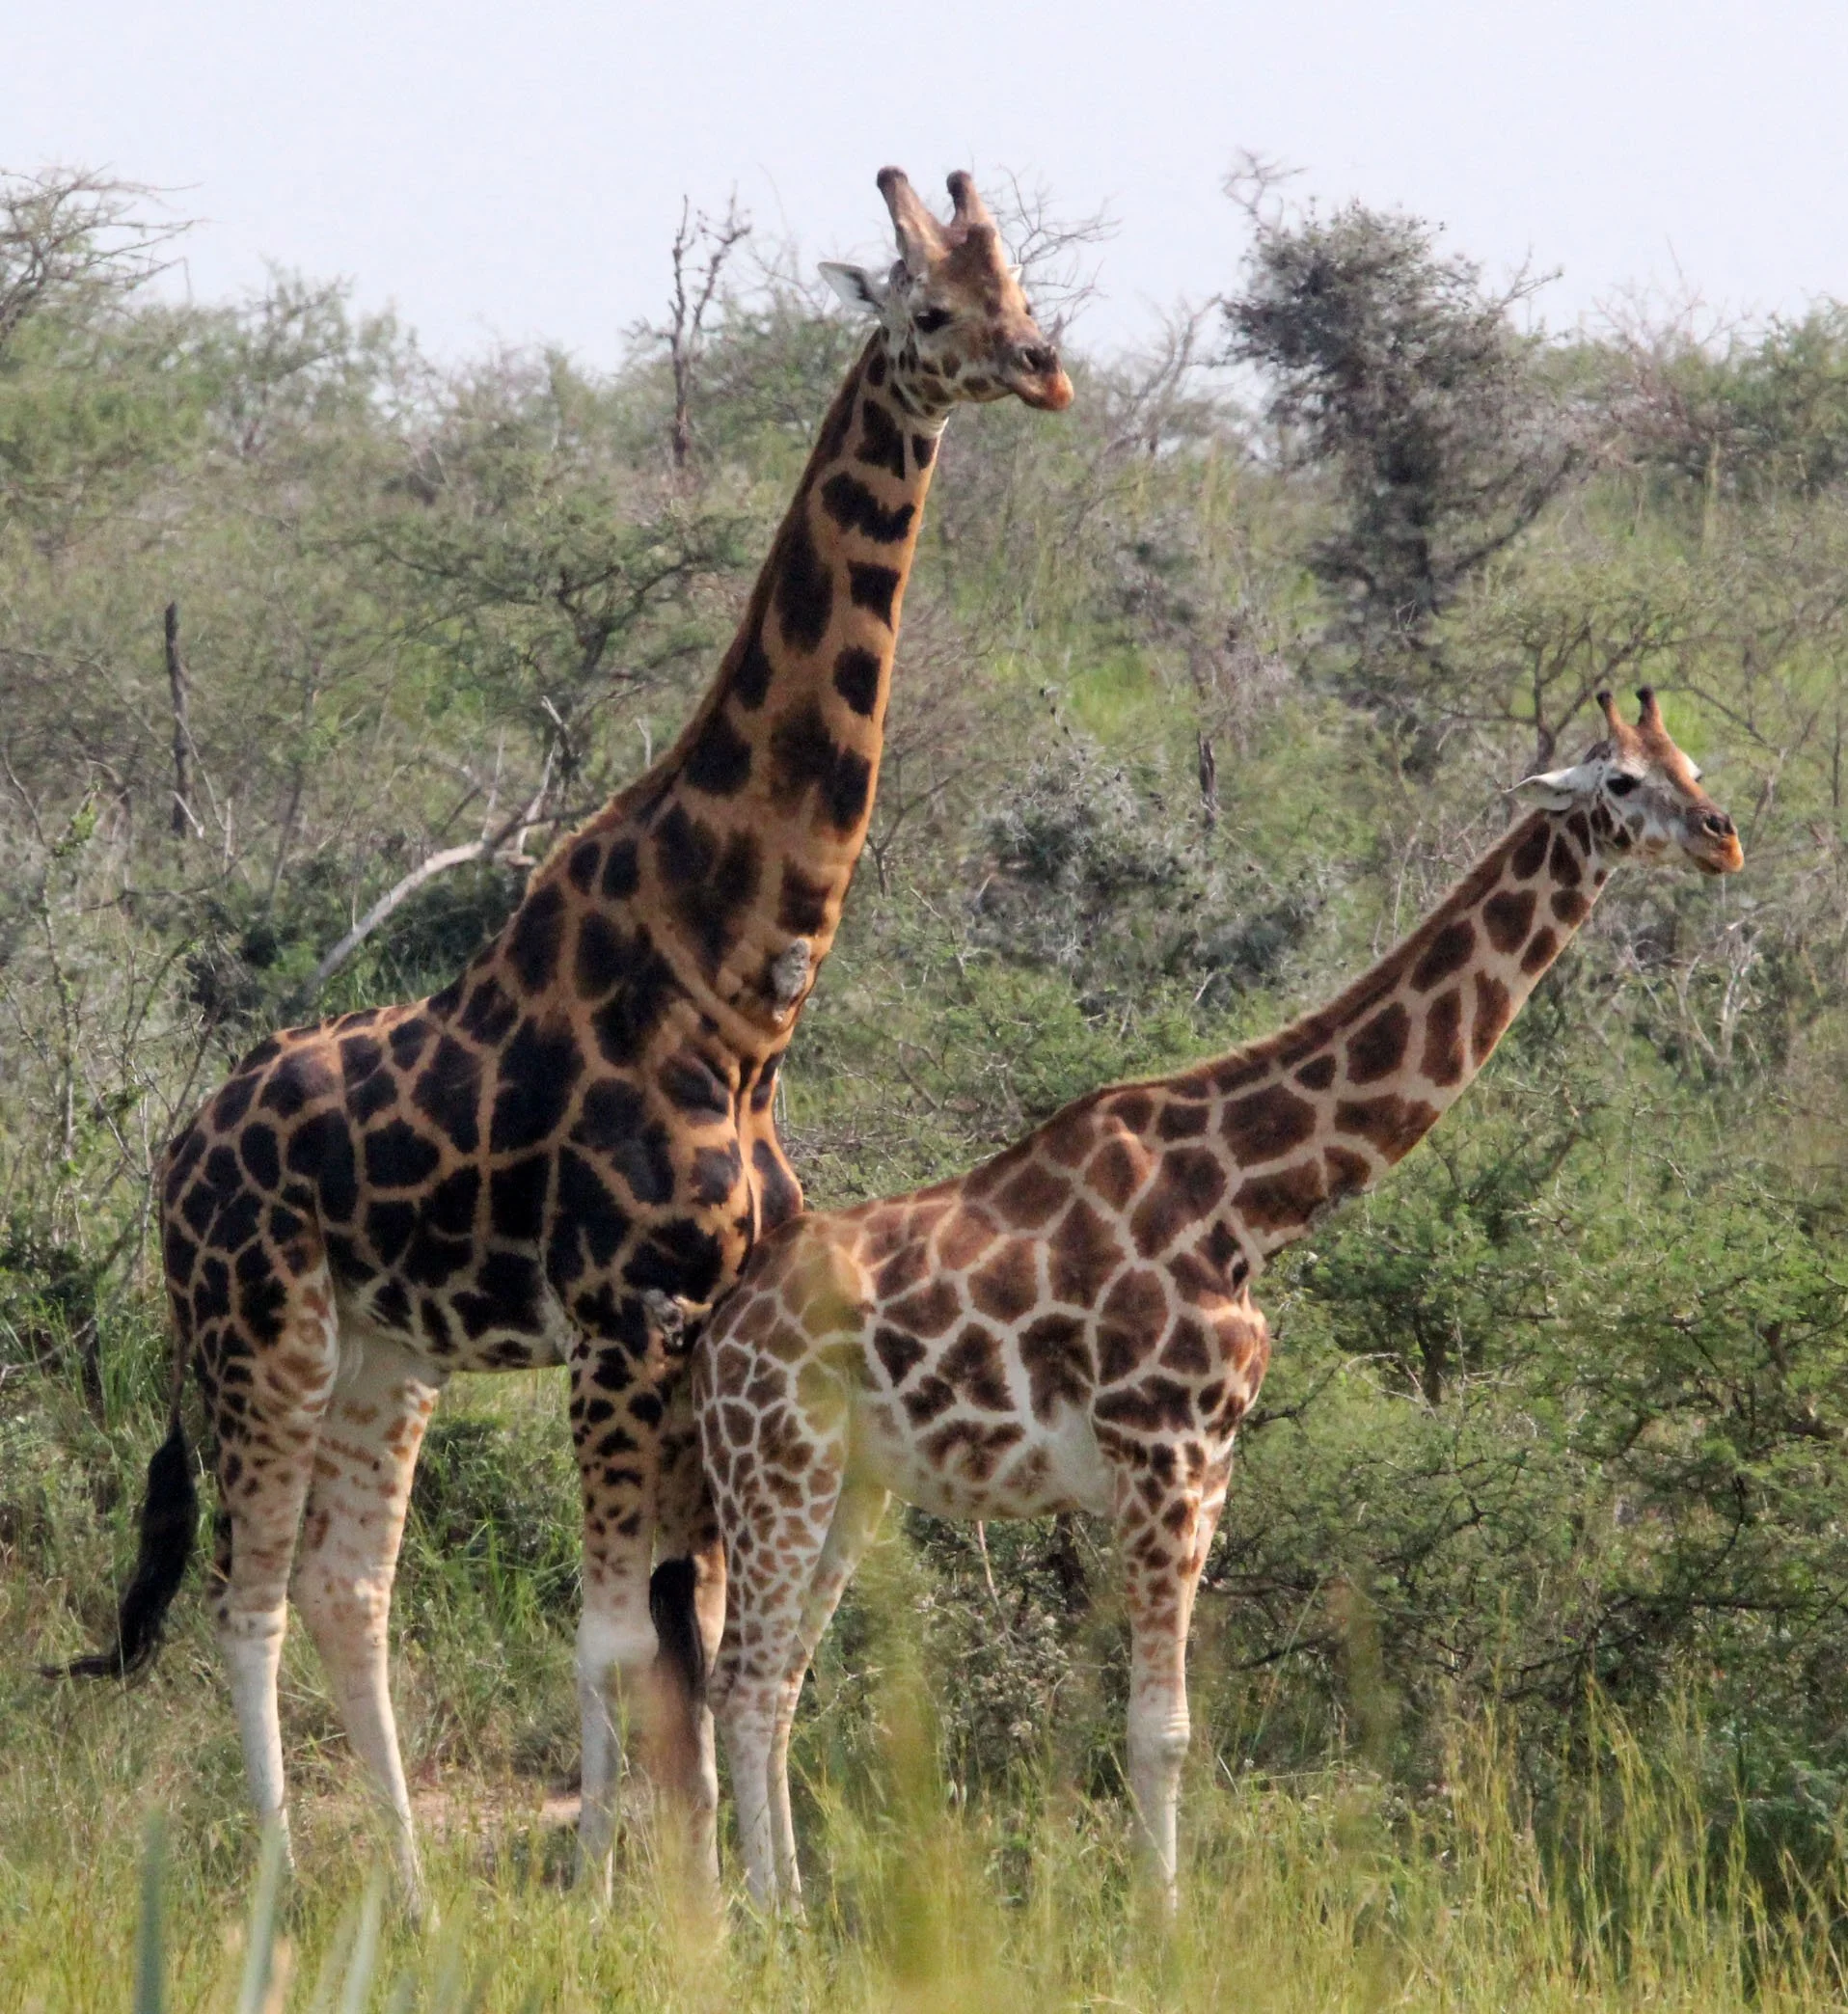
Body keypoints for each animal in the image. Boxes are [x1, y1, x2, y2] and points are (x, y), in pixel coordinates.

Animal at [56, 167, 1072, 1903]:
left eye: (1020, 294)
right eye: (929, 306)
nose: (1044, 369)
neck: (742, 991)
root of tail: (173, 1158)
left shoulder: (697, 1323)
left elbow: (701, 1630)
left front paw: (718, 1893)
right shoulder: (621, 1317)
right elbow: (616, 1637)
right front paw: (621, 1896)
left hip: (384, 1352)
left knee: (346, 1588)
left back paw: (406, 1883)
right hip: (258, 1331)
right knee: (247, 1596)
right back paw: (286, 1875)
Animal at [694, 691, 1743, 1909]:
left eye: (1687, 763)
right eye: (1619, 782)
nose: (1720, 836)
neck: (1245, 1199)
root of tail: (715, 1333)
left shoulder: (1213, 1465)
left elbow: (1171, 1727)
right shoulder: (1161, 1453)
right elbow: (1159, 1732)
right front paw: (1165, 1921)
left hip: (854, 1484)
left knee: (780, 1679)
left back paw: (792, 1903)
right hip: (778, 1464)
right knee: (743, 1676)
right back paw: (760, 1914)